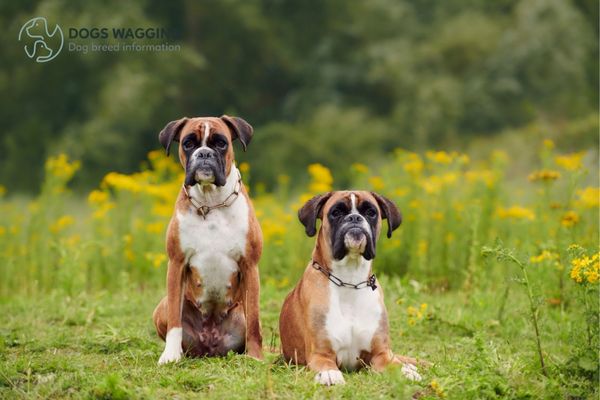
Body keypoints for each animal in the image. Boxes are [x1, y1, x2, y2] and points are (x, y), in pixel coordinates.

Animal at [152, 115, 262, 362]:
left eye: (221, 143)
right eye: (188, 143)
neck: (211, 202)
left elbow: (254, 321)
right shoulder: (176, 264)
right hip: (160, 308)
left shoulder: (250, 266)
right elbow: (174, 320)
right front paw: (170, 355)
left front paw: (255, 357)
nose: (203, 154)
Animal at [280, 192, 422, 386]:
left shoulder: (381, 354)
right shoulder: (320, 354)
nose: (354, 218)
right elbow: (327, 365)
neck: (349, 280)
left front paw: (406, 372)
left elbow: (395, 365)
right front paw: (330, 374)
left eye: (371, 212)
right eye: (336, 212)